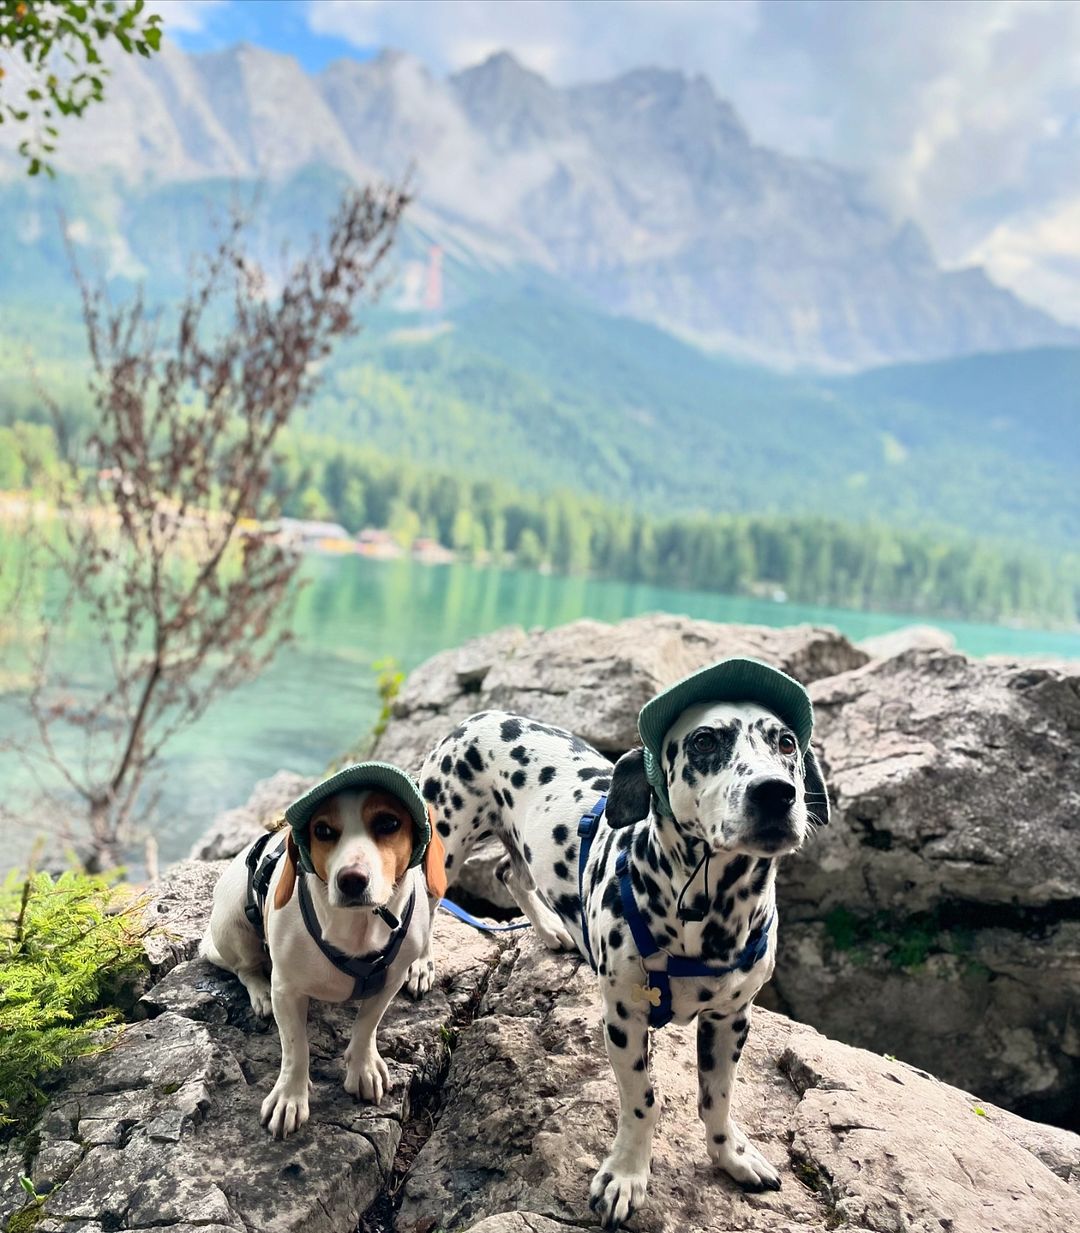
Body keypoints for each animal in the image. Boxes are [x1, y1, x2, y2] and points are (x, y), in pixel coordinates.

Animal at [200, 759, 446, 1134]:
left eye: (389, 823)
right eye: (323, 831)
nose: (351, 880)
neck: (358, 928)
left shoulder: (389, 981)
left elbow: (366, 1025)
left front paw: (363, 1068)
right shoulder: (287, 990)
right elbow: (295, 1048)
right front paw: (289, 1097)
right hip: (233, 924)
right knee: (246, 968)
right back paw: (259, 992)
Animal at [411, 665, 828, 1233]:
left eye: (786, 742)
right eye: (704, 740)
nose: (776, 792)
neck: (713, 913)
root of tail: (482, 716)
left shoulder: (730, 1019)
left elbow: (717, 1099)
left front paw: (732, 1157)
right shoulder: (624, 1019)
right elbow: (643, 1102)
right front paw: (627, 1175)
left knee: (509, 874)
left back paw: (553, 929)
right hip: (445, 840)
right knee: (425, 897)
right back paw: (420, 963)